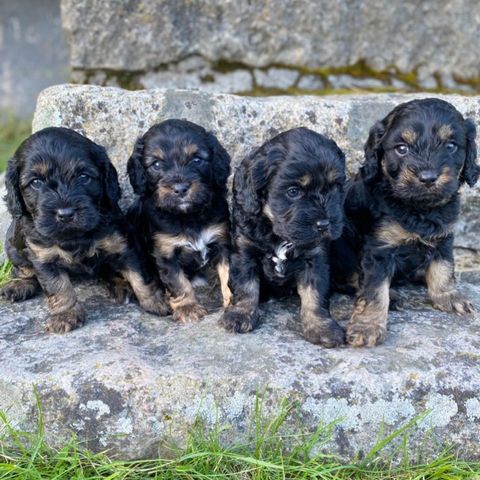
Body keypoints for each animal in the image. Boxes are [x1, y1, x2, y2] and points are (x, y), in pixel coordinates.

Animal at [0, 125, 170, 332]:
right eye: (36, 182)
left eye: (83, 177)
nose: (65, 214)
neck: (75, 236)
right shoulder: (43, 257)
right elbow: (58, 286)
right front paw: (65, 315)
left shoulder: (123, 243)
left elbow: (140, 275)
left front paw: (156, 300)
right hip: (12, 246)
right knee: (23, 269)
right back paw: (19, 286)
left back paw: (121, 285)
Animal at [219, 125, 346, 346]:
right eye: (293, 191)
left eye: (335, 187)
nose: (324, 224)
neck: (278, 234)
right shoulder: (244, 252)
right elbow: (246, 285)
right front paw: (240, 314)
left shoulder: (316, 256)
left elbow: (315, 293)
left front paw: (322, 328)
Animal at [334, 97, 480, 346]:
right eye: (402, 149)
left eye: (451, 146)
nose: (428, 178)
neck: (418, 208)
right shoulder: (380, 249)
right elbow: (374, 290)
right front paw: (367, 326)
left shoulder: (444, 237)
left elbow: (444, 267)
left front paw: (447, 295)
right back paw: (391, 295)